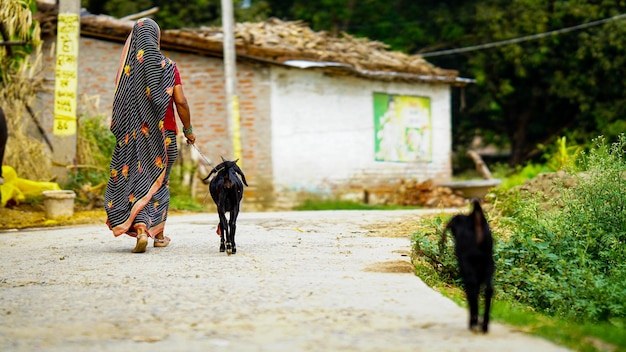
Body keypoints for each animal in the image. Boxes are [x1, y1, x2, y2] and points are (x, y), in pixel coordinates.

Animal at [442, 198, 494, 332]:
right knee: (488, 290)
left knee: (472, 292)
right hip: (489, 266)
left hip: (470, 268)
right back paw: (484, 325)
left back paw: (473, 323)